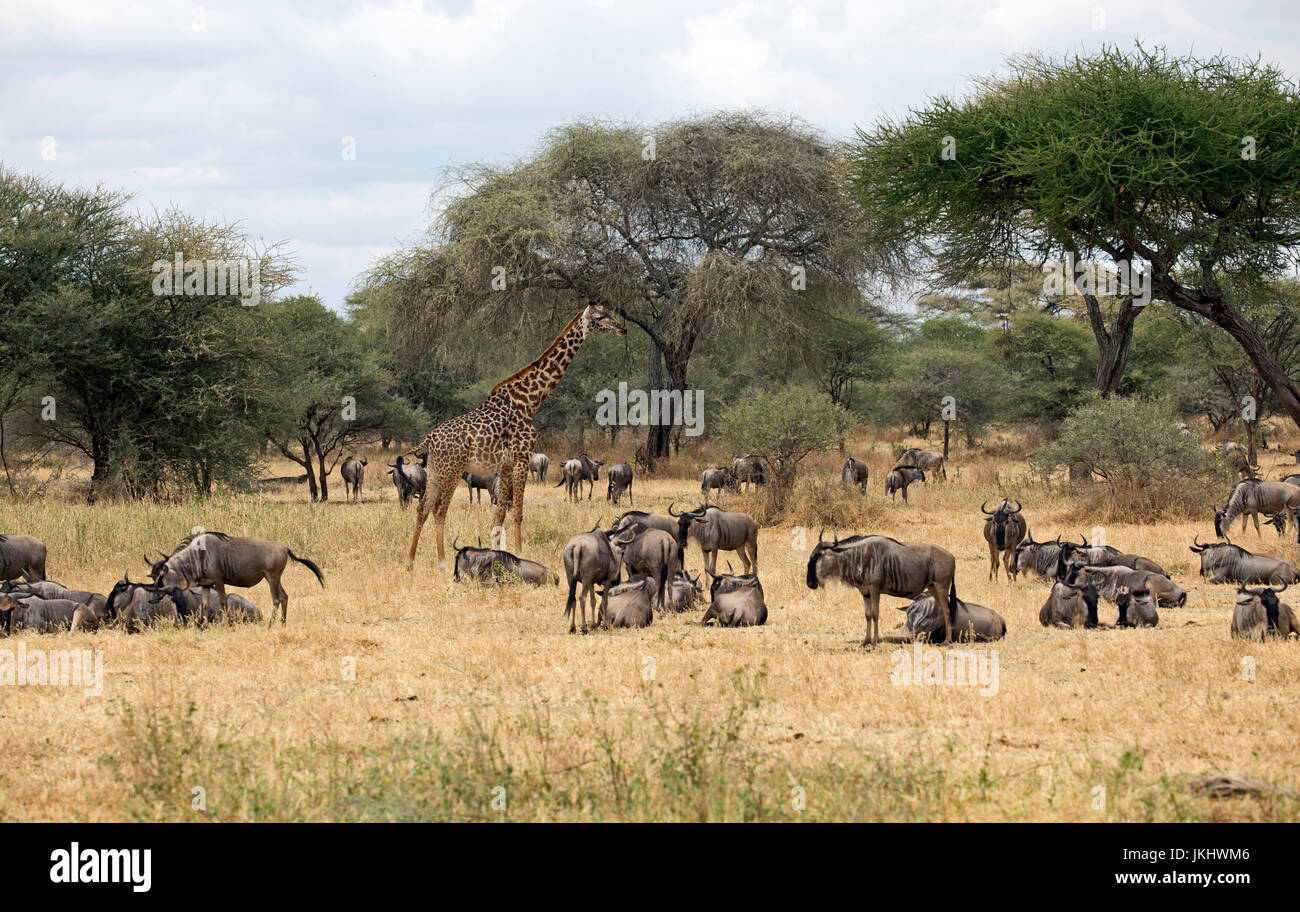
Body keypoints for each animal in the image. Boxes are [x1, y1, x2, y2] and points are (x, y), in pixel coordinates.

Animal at [406, 304, 627, 570]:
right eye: (600, 317)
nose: (622, 328)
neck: (530, 401)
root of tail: (429, 437)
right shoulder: (522, 457)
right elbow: (519, 511)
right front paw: (521, 554)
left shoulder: (507, 465)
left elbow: (500, 513)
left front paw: (498, 554)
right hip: (452, 469)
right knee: (439, 510)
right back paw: (442, 563)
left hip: (435, 470)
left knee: (422, 508)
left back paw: (410, 563)